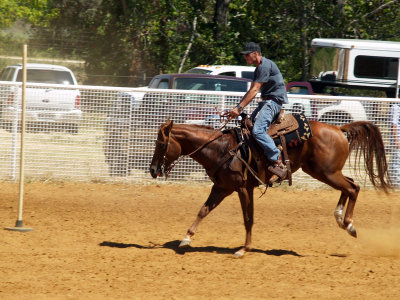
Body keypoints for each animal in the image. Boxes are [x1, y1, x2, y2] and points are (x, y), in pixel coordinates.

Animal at [149, 118, 390, 256]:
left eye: (160, 143)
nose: (152, 170)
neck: (221, 148)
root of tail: (339, 129)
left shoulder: (242, 188)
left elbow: (248, 218)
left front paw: (244, 249)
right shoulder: (222, 187)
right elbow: (203, 210)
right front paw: (186, 238)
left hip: (327, 172)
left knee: (353, 188)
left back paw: (348, 224)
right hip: (323, 172)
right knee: (350, 186)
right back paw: (341, 219)